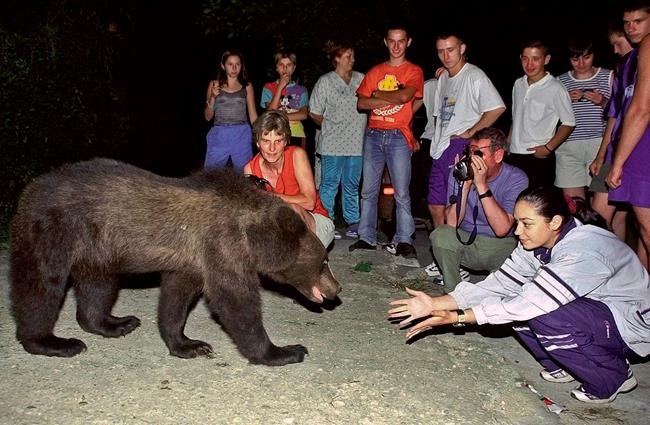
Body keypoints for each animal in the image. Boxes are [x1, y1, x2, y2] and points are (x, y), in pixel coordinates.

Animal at [9, 158, 341, 366]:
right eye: (324, 261)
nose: (337, 289)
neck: (253, 234)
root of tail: (31, 188)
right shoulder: (222, 245)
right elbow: (235, 301)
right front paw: (285, 351)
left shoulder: (191, 259)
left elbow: (176, 299)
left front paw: (189, 344)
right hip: (54, 229)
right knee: (41, 287)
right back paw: (54, 342)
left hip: (98, 247)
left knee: (99, 284)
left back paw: (118, 322)